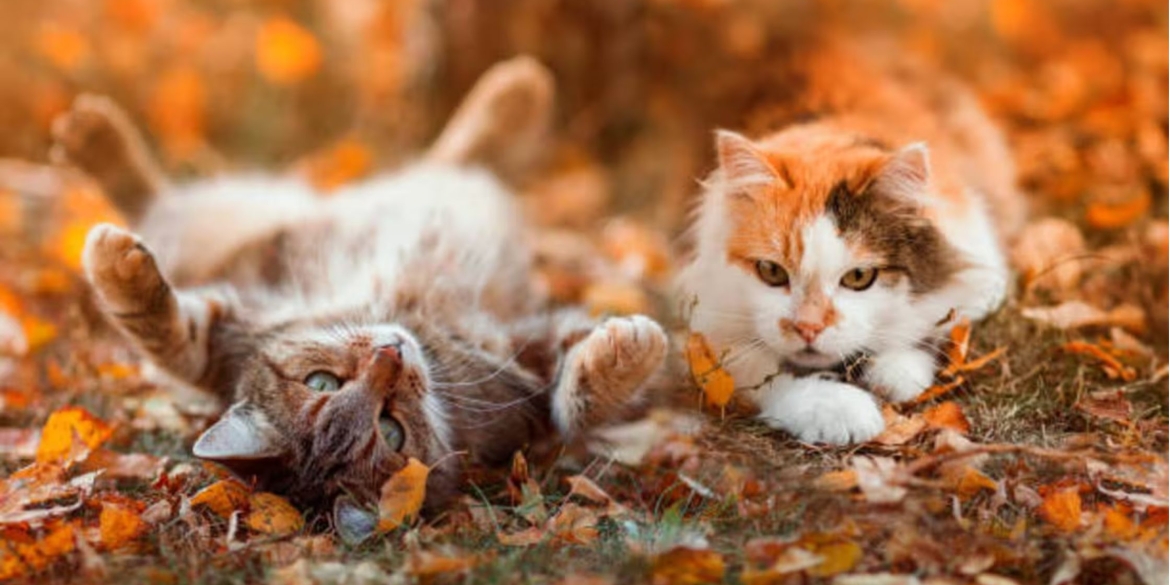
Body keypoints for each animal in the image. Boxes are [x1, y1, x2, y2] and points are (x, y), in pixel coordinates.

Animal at [52, 58, 669, 531]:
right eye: (390, 430)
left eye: (319, 382)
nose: (389, 355)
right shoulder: (523, 374)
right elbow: (575, 399)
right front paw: (630, 354)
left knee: (453, 160)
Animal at [678, 37, 1024, 442]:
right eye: (771, 272)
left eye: (859, 278)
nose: (808, 328)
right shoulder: (703, 323)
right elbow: (758, 371)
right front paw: (839, 411)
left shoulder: (979, 268)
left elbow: (934, 324)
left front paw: (891, 375)